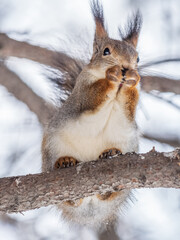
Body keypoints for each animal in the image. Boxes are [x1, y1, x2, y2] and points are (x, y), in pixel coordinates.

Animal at [40, 0, 142, 227]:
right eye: (106, 51)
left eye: (138, 58)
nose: (126, 67)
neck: (116, 91)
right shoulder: (82, 93)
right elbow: (93, 96)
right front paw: (112, 75)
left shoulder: (128, 113)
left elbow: (129, 107)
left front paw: (132, 79)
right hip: (52, 148)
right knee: (69, 199)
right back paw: (64, 163)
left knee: (109, 195)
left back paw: (110, 158)